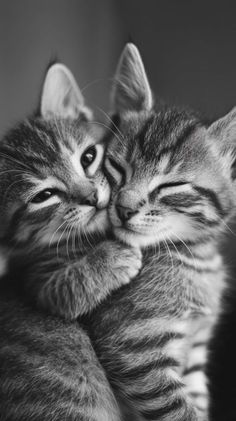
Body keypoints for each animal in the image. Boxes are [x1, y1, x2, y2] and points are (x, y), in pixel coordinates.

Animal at [0, 63, 141, 420]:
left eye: (88, 157)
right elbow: (70, 287)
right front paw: (113, 257)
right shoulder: (40, 284)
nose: (91, 198)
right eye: (44, 196)